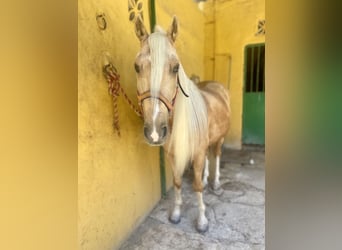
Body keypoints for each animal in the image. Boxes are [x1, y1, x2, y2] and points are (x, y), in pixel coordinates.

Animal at [134, 16, 230, 233]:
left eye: (175, 67)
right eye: (136, 67)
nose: (154, 131)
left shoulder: (198, 152)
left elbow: (197, 186)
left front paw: (202, 221)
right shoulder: (172, 153)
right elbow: (178, 182)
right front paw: (176, 213)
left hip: (219, 139)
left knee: (217, 155)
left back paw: (216, 183)